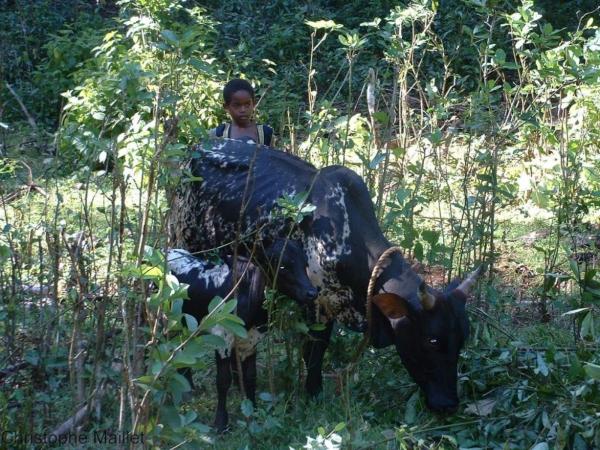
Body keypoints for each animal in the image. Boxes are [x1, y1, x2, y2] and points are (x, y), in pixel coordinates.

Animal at [166, 237, 318, 430]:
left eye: (305, 264)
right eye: (283, 265)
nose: (312, 293)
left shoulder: (252, 339)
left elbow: (250, 376)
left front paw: (253, 411)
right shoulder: (222, 337)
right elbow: (223, 380)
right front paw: (220, 422)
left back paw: (188, 389)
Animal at [171, 139, 480, 414]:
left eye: (463, 337)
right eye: (432, 340)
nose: (449, 404)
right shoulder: (316, 301)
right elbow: (313, 351)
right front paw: (313, 393)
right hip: (184, 241)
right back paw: (186, 382)